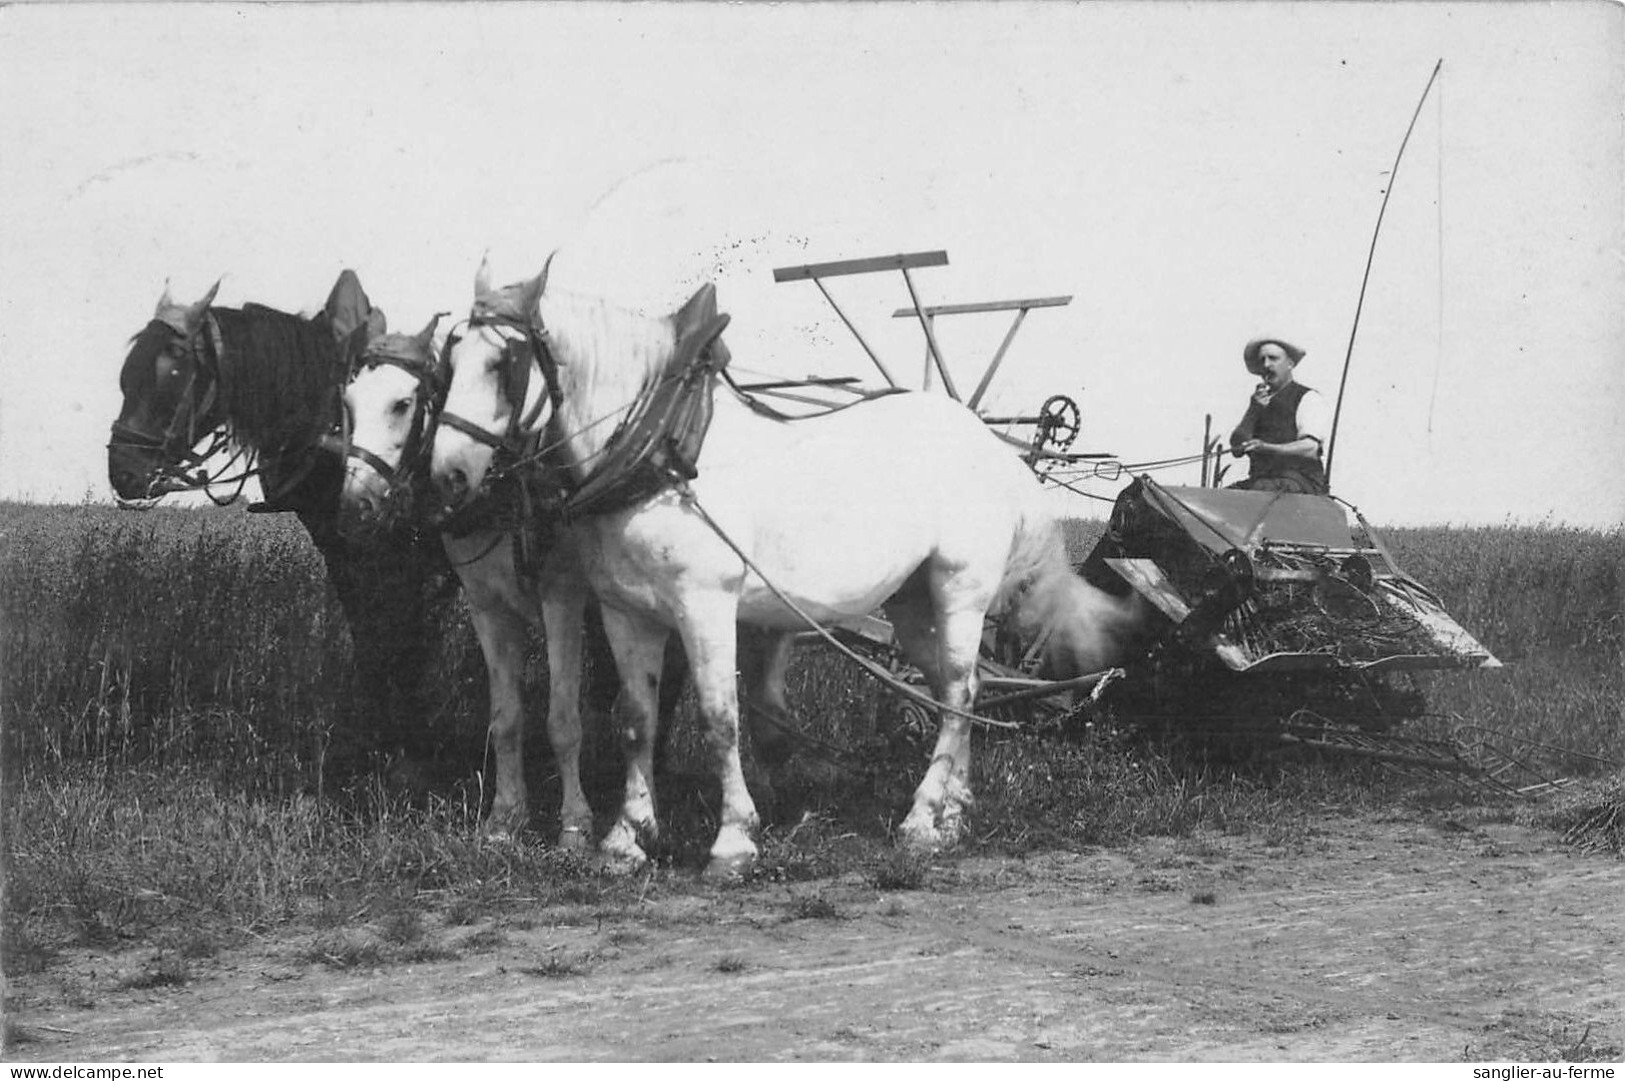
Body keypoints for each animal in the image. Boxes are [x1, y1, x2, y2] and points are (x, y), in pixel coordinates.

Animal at [106, 271, 464, 777]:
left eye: (173, 375)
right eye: (127, 373)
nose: (122, 471)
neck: (335, 425)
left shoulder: (398, 560)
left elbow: (400, 643)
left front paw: (407, 751)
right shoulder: (344, 555)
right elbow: (371, 642)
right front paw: (378, 740)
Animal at [339, 316, 802, 845]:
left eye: (402, 403)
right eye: (348, 402)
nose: (355, 502)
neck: (509, 490)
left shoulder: (561, 598)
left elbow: (562, 720)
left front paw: (575, 823)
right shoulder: (486, 606)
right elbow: (506, 719)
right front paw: (506, 816)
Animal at [429, 260, 1144, 877]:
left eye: (503, 362)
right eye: (448, 361)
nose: (448, 477)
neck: (663, 458)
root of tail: (989, 445)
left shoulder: (705, 606)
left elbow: (720, 719)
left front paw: (733, 842)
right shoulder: (624, 612)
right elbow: (635, 720)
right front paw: (626, 839)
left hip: (960, 590)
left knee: (961, 694)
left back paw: (919, 821)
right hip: (913, 603)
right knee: (951, 690)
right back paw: (951, 815)